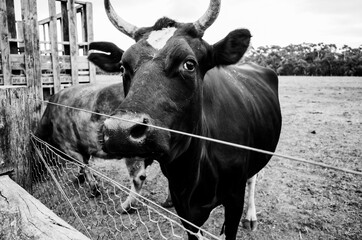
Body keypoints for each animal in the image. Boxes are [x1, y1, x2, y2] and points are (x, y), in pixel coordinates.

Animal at [89, 0, 282, 239]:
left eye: (189, 64)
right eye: (123, 67)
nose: (119, 131)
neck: (192, 169)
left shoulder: (234, 199)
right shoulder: (184, 208)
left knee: (253, 178)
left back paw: (251, 217)